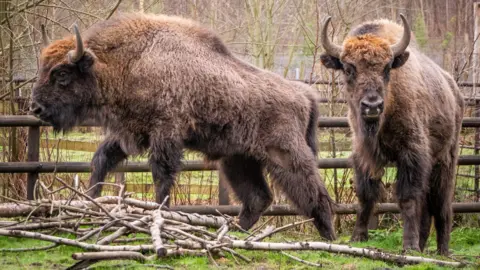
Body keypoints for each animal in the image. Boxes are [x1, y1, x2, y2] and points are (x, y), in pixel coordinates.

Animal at [31, 12, 338, 240]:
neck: (131, 61)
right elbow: (100, 160)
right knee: (257, 198)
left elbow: (161, 175)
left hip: (285, 155)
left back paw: (329, 239)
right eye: (42, 68)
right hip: (238, 159)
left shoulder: (165, 134)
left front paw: (158, 215)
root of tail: (303, 94)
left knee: (314, 193)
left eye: (61, 73)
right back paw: (234, 233)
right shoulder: (130, 133)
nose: (35, 108)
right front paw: (91, 201)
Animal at [320, 14, 464, 255]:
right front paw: (358, 237)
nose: (372, 106)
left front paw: (409, 245)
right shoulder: (363, 155)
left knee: (441, 204)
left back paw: (442, 250)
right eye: (349, 69)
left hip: (445, 160)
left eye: (387, 68)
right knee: (427, 207)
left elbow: (407, 198)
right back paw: (423, 245)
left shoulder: (412, 155)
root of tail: (454, 90)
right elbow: (366, 195)